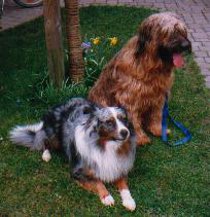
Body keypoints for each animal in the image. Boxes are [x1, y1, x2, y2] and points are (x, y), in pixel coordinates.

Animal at [88, 12, 192, 146]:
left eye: (182, 31)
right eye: (168, 32)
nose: (186, 45)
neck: (151, 65)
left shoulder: (159, 95)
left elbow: (156, 114)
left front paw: (158, 130)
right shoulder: (129, 97)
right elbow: (133, 119)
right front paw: (140, 138)